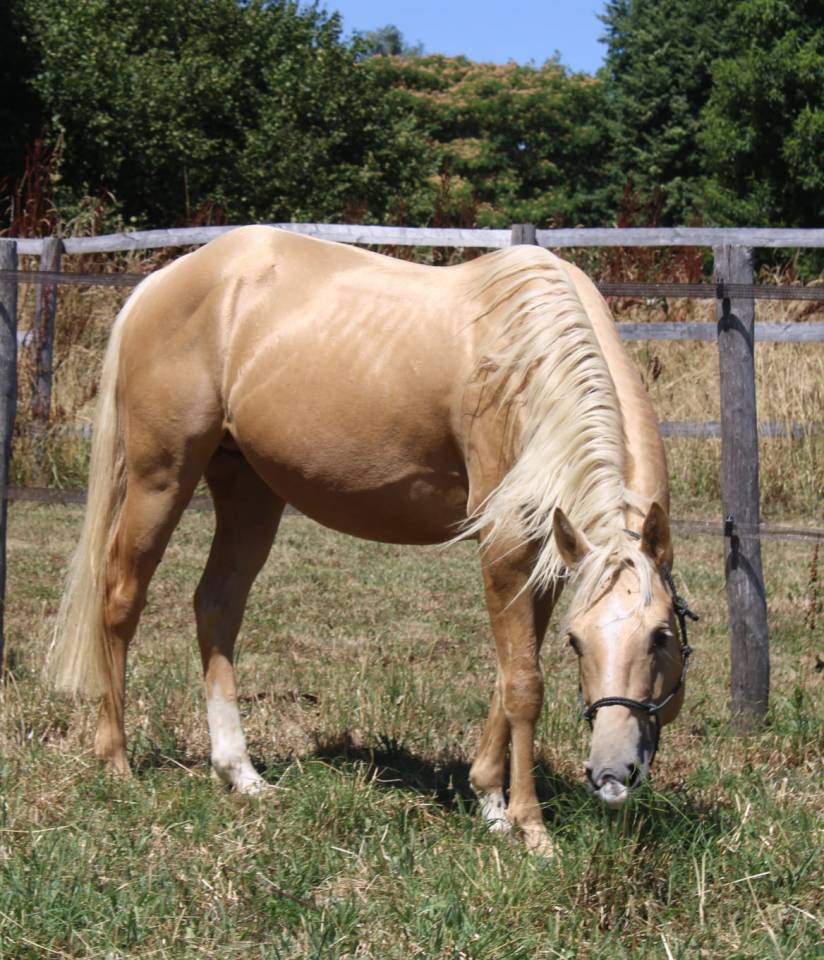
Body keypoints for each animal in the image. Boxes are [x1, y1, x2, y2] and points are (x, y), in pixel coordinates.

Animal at [48, 226, 691, 855]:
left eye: (661, 636)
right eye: (578, 643)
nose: (611, 776)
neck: (531, 365)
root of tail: (159, 283)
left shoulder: (547, 555)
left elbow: (509, 674)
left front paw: (490, 799)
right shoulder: (504, 543)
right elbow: (525, 685)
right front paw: (529, 827)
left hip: (248, 490)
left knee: (217, 605)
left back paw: (241, 773)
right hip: (160, 478)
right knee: (122, 598)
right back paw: (117, 762)